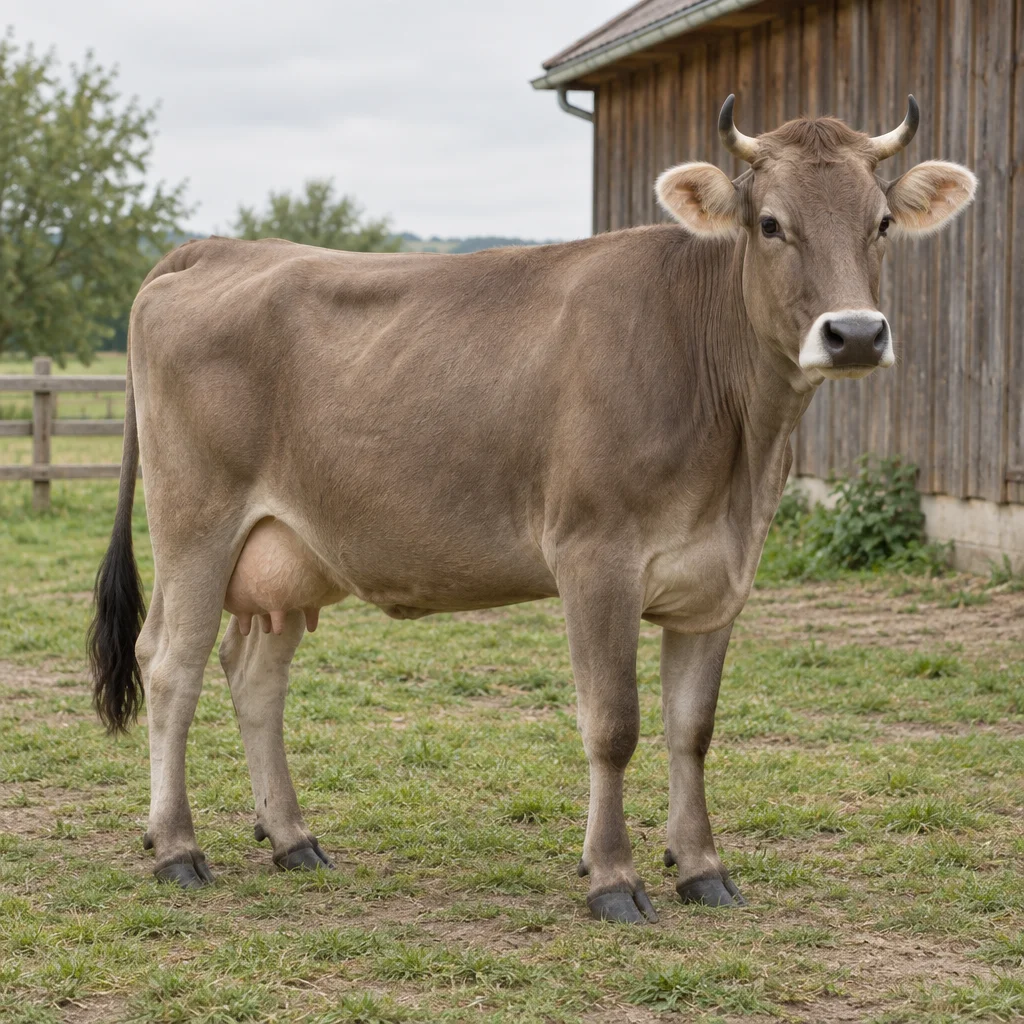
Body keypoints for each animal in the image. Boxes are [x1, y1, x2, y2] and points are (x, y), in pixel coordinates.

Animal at [89, 96, 976, 923]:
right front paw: (613, 879)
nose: (854, 334)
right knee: (169, 663)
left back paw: (292, 838)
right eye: (769, 223)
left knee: (255, 674)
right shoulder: (594, 556)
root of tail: (219, 248)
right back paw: (177, 848)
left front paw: (702, 869)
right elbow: (613, 726)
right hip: (196, 524)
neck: (738, 454)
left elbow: (692, 730)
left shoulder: (720, 576)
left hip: (288, 550)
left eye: (882, 222)